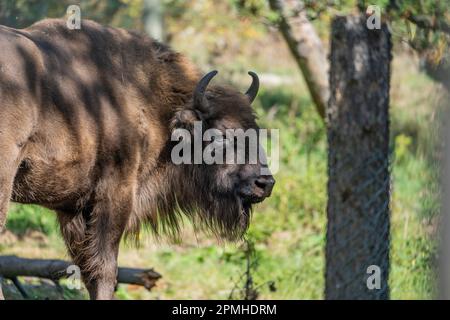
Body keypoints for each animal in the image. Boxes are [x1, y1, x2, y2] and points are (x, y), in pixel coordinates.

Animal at [0, 19, 274, 300]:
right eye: (220, 134)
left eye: (255, 131)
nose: (264, 183)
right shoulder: (116, 193)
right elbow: (105, 269)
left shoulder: (72, 209)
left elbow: (87, 269)